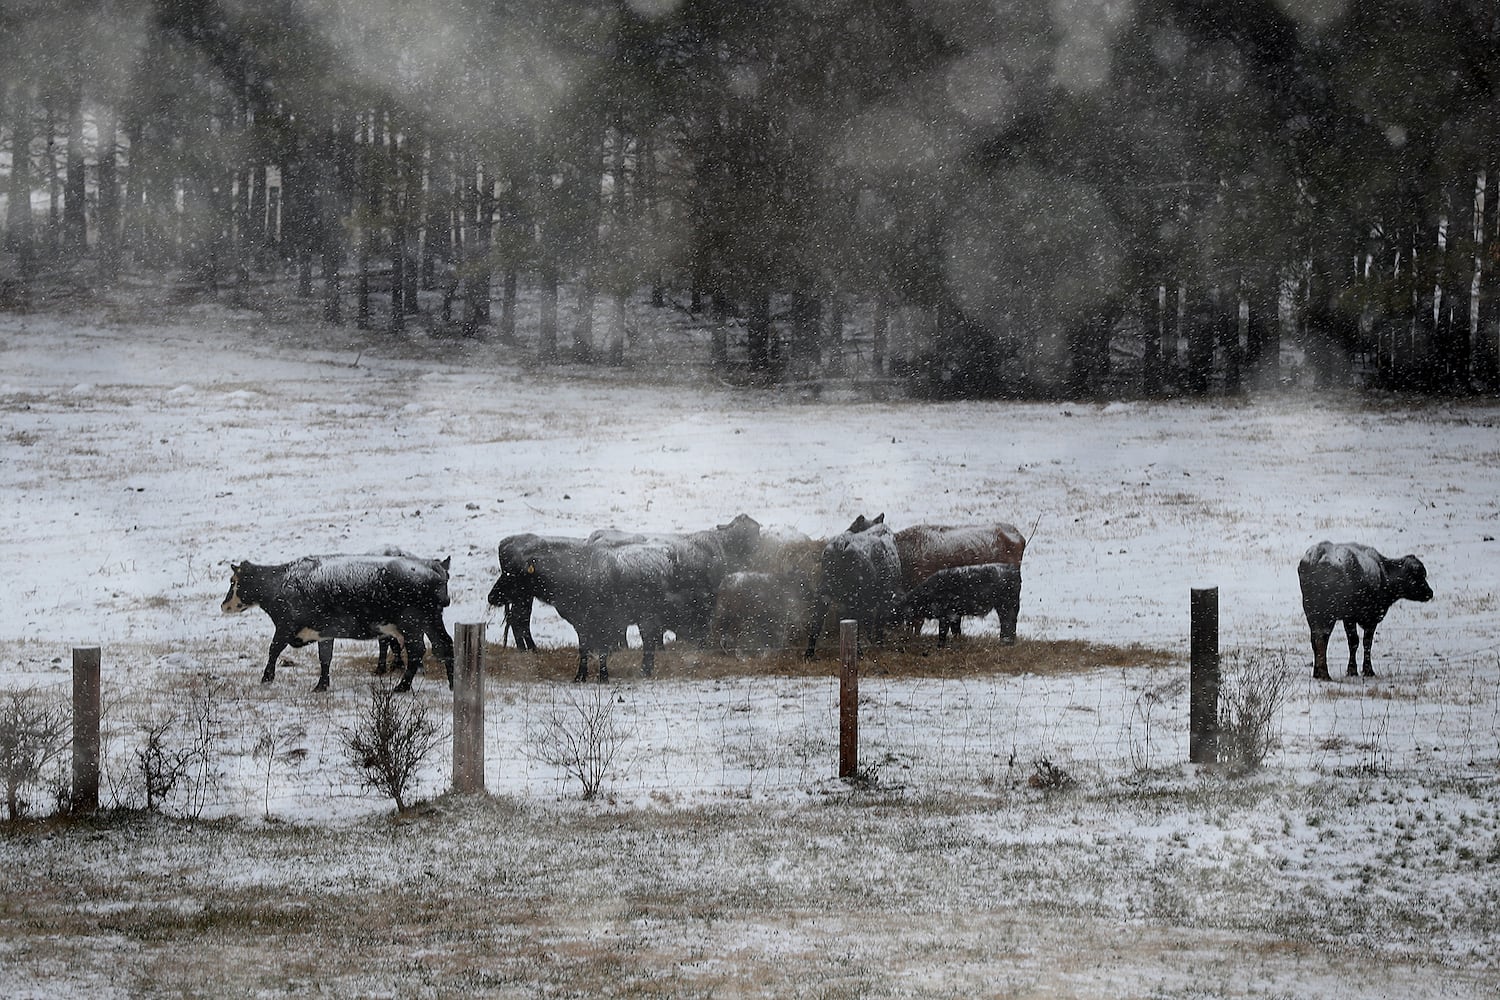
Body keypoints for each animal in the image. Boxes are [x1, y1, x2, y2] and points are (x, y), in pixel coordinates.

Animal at [217, 551, 450, 692]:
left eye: (232, 581)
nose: (223, 605)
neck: (282, 582)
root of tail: (432, 571)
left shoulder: (285, 627)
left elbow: (273, 649)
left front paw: (266, 678)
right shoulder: (324, 632)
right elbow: (325, 658)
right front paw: (321, 685)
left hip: (412, 624)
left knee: (418, 651)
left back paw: (403, 686)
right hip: (429, 622)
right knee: (443, 645)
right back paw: (451, 683)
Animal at [804, 515, 894, 656]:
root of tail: (840, 544)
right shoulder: (885, 597)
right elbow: (876, 624)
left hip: (824, 594)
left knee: (816, 623)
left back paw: (809, 654)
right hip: (854, 598)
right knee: (855, 624)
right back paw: (859, 652)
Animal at [894, 563, 1026, 650]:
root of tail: (1013, 569)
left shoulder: (947, 615)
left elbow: (943, 632)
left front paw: (940, 646)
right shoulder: (956, 616)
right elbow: (956, 631)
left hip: (1006, 606)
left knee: (1008, 623)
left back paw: (1006, 641)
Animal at [1296, 542, 1434, 683]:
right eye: (1418, 576)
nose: (1430, 593)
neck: (1383, 573)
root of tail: (1317, 556)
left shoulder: (1350, 619)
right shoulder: (1365, 618)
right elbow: (1363, 642)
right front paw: (1364, 670)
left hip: (1311, 613)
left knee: (1315, 639)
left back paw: (1317, 673)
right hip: (1327, 614)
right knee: (1322, 638)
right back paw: (1324, 673)